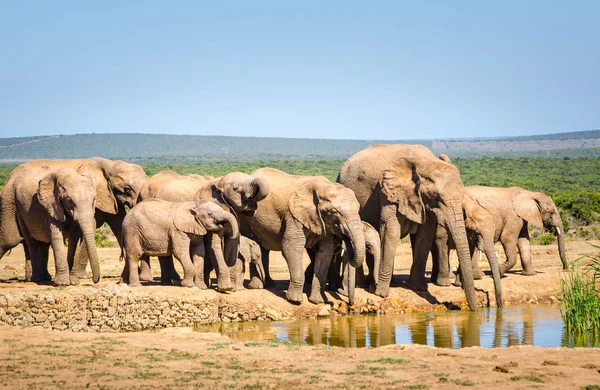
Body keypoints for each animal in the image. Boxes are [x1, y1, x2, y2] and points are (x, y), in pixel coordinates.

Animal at [0, 157, 149, 282]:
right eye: (127, 188)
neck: (110, 164)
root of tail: (9, 177)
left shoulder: (110, 199)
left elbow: (119, 227)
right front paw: (82, 277)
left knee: (39, 243)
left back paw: (39, 278)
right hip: (9, 201)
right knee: (9, 240)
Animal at [137, 169, 270, 290]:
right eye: (235, 188)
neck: (218, 182)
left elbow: (231, 243)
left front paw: (229, 287)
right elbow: (214, 245)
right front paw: (225, 287)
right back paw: (169, 281)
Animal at [239, 168, 366, 304]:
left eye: (358, 210)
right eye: (334, 212)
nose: (349, 304)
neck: (325, 187)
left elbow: (325, 252)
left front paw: (318, 301)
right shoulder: (293, 215)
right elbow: (291, 247)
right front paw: (295, 300)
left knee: (263, 248)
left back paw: (269, 284)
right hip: (246, 216)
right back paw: (257, 286)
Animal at [340, 143, 480, 310]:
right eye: (437, 197)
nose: (474, 310)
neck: (426, 163)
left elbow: (424, 236)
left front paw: (418, 288)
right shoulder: (387, 192)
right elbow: (390, 231)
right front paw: (381, 293)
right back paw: (364, 285)